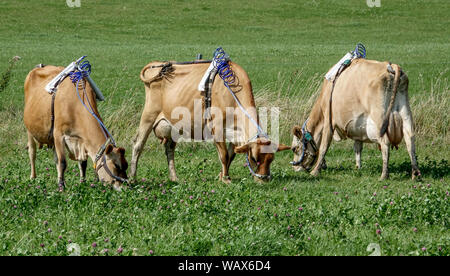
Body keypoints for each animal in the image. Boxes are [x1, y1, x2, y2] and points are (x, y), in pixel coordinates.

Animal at [129, 59, 288, 183]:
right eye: (254, 158)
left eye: (271, 159)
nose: (264, 180)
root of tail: (156, 64)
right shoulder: (216, 128)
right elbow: (224, 155)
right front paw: (226, 179)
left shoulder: (235, 133)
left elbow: (230, 156)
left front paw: (222, 176)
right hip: (149, 114)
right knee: (138, 144)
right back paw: (132, 177)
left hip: (173, 125)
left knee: (169, 149)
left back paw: (174, 178)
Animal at [292, 57, 422, 181]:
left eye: (294, 148)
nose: (295, 167)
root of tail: (391, 66)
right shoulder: (358, 128)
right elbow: (358, 148)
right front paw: (358, 168)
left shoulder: (329, 121)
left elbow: (324, 146)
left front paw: (316, 171)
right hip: (405, 114)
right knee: (410, 139)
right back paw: (415, 174)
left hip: (379, 119)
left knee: (385, 142)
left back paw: (384, 175)